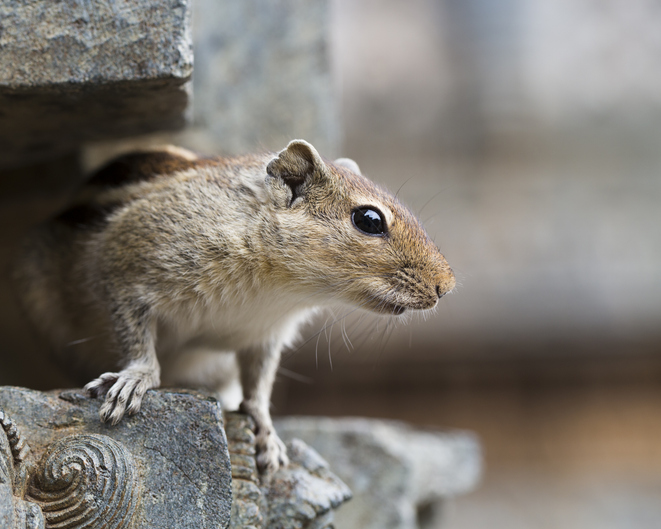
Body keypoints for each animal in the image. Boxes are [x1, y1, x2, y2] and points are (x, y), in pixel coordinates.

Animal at [12, 138, 454, 472]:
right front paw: (136, 378)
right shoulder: (121, 268)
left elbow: (258, 384)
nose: (445, 287)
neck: (280, 287)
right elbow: (136, 336)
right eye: (368, 220)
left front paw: (266, 429)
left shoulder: (266, 335)